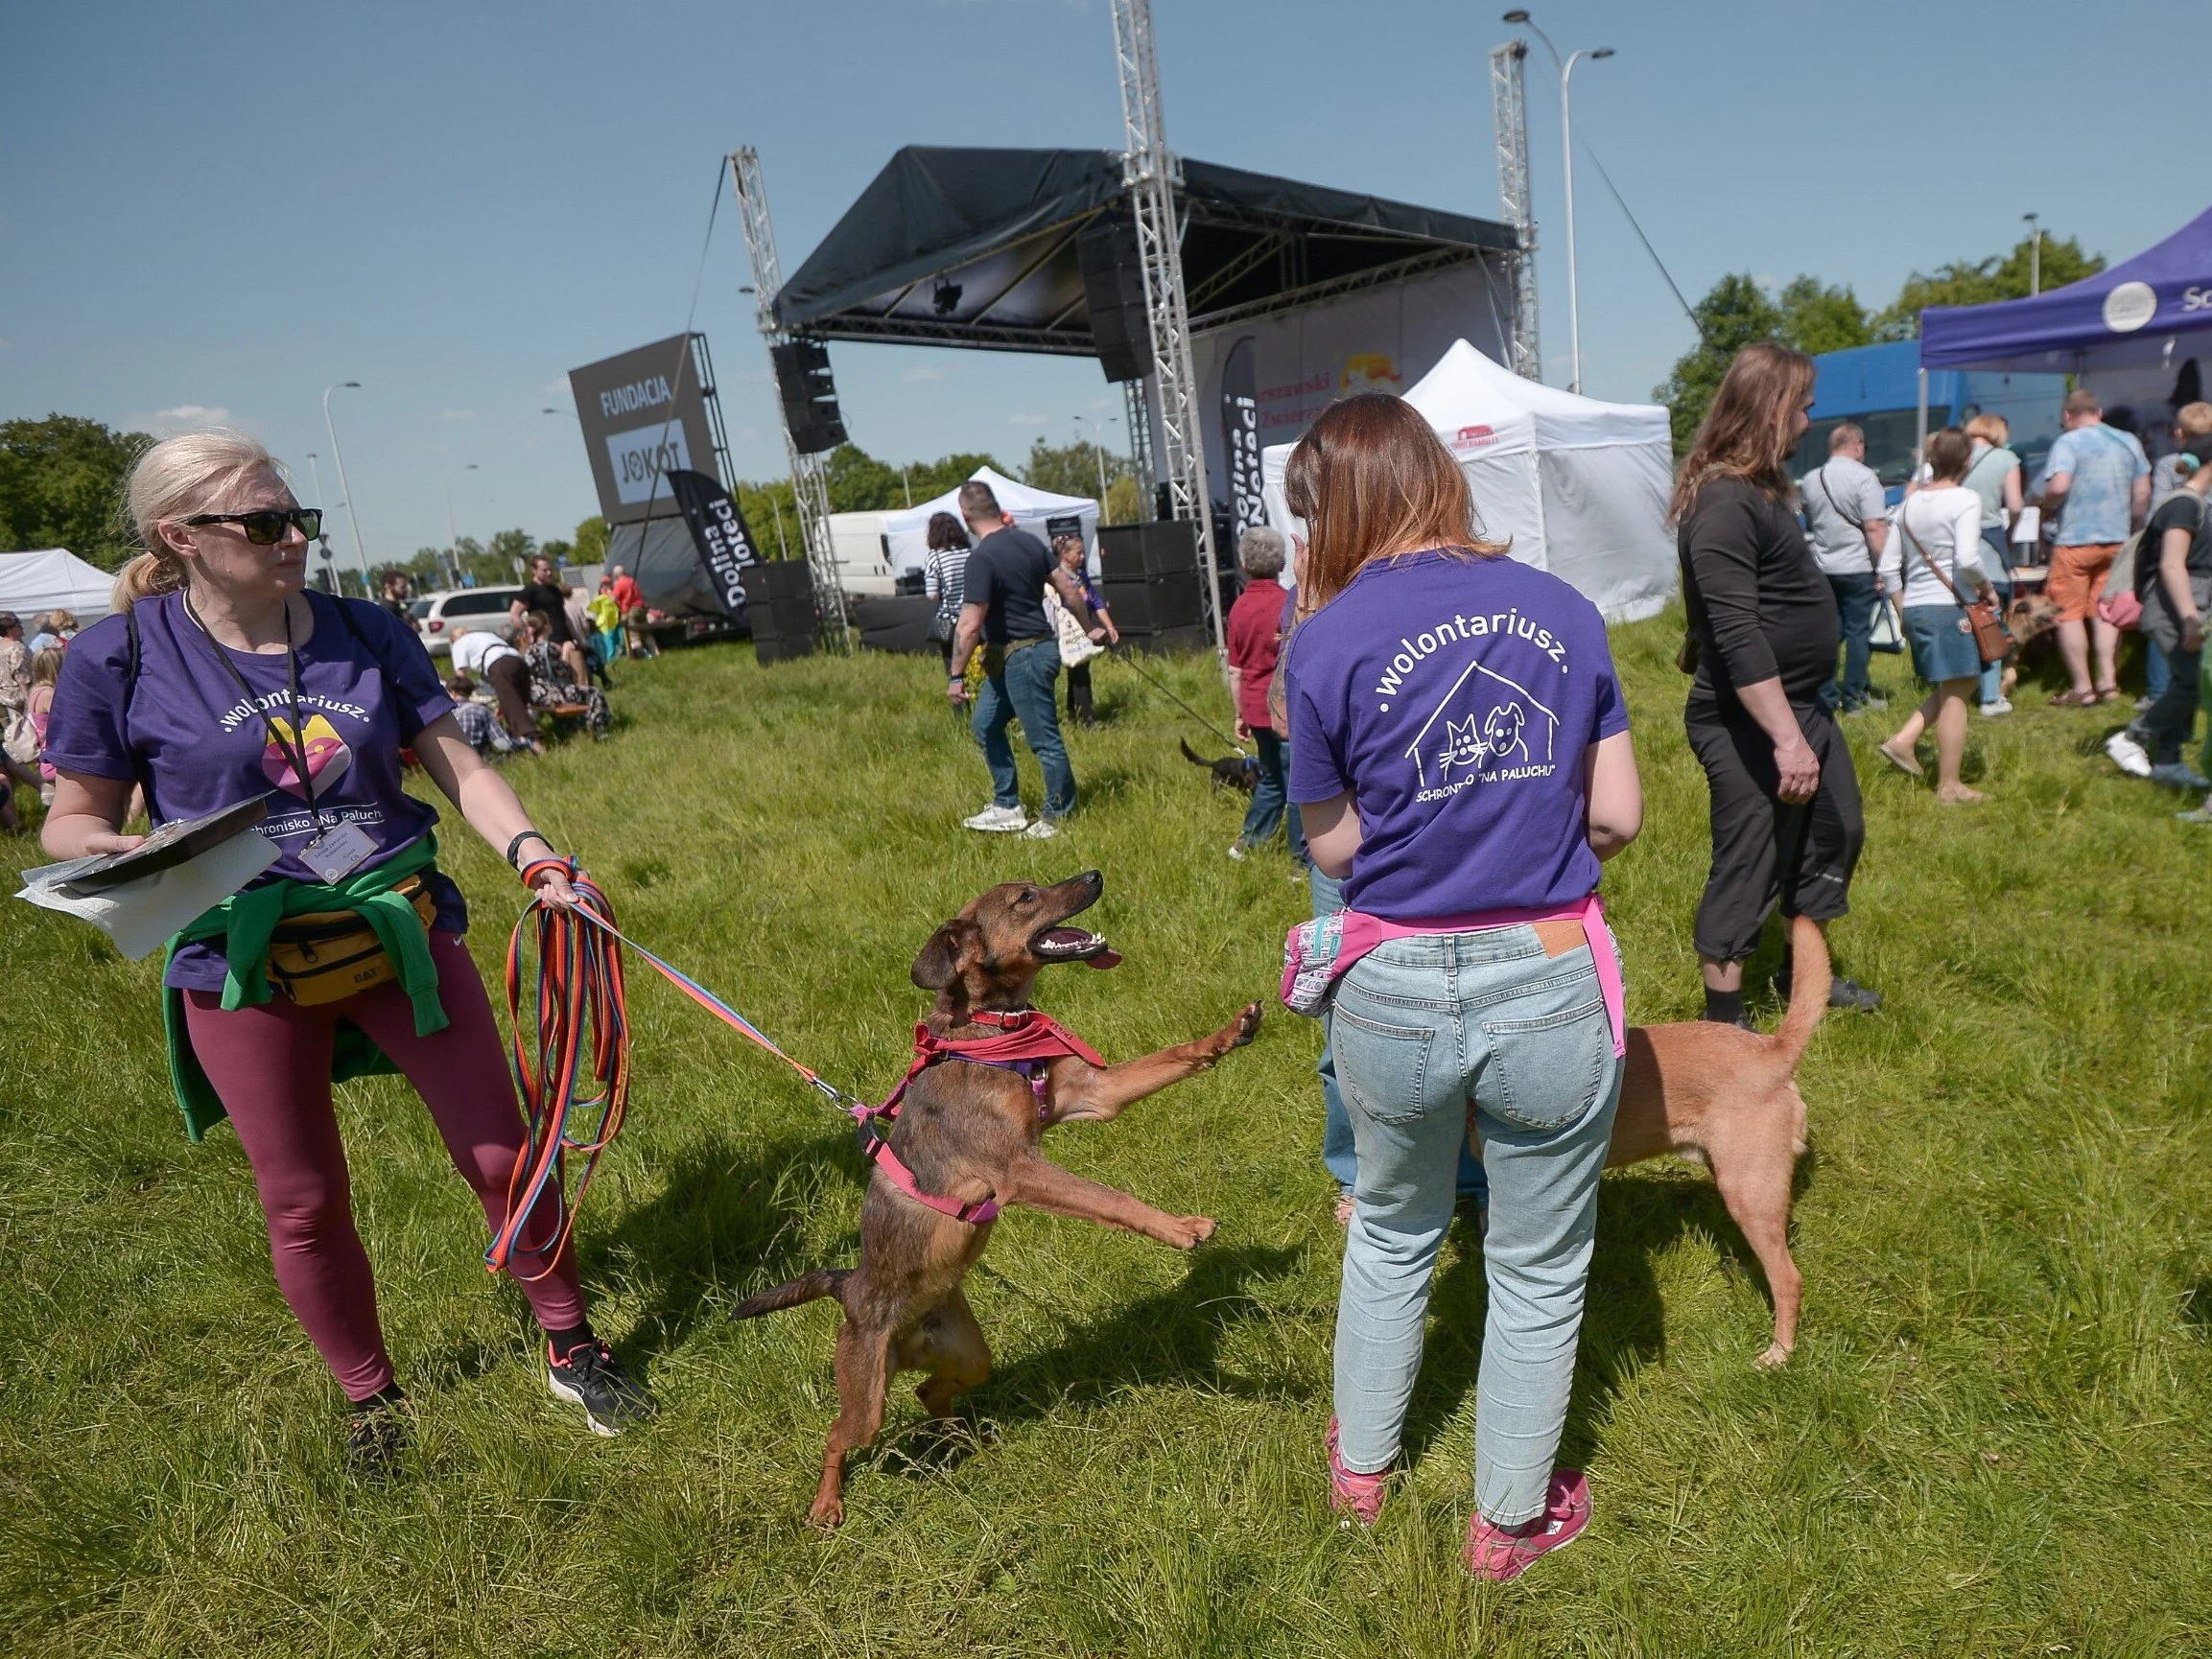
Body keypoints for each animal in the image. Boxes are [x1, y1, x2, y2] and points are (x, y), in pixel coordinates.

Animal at [734, 871, 1265, 1530]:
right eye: (1026, 898)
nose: (1095, 875)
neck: (993, 1032)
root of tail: (849, 1286)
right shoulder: (1018, 1169)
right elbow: (1112, 1199)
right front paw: (1180, 1228)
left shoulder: (1094, 1094)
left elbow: (1173, 1056)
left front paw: (1234, 1031)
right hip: (867, 1393)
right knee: (840, 1434)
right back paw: (827, 1504)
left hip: (966, 1354)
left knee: (929, 1392)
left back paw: (964, 1440)